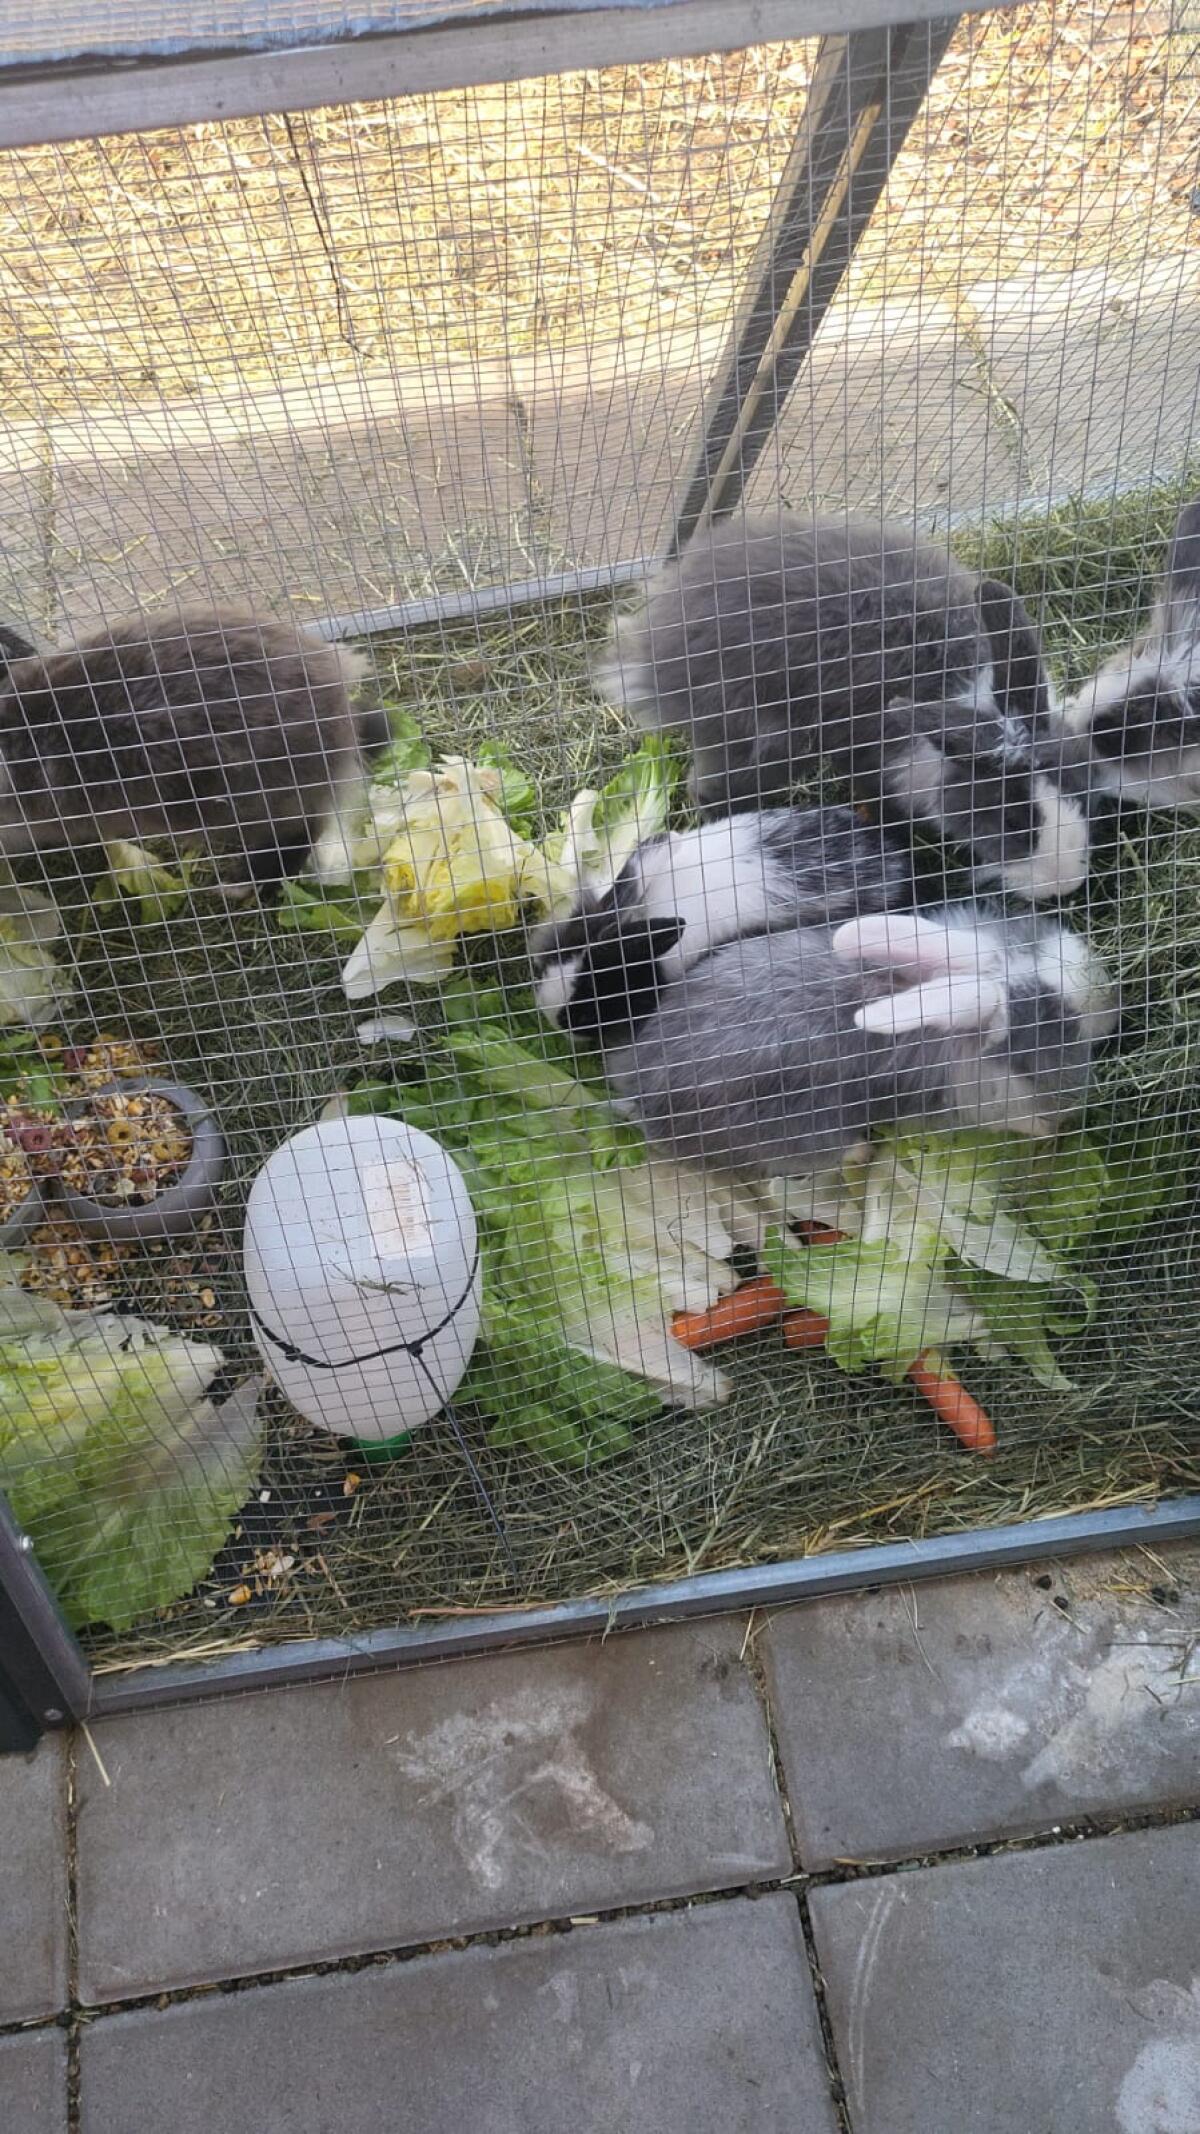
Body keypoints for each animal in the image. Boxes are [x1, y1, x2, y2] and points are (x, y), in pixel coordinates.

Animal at [595, 511, 1088, 903]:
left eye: (1079, 791)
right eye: (1012, 822)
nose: (1064, 886)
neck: (965, 695)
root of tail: (654, 640)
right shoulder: (875, 762)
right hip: (760, 739)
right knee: (708, 787)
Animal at [603, 903, 1117, 1183]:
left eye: (1032, 938)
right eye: (1055, 1017)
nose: (1102, 990)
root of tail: (640, 1096)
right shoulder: (986, 1099)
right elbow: (1021, 1118)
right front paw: (1049, 1129)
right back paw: (862, 1151)